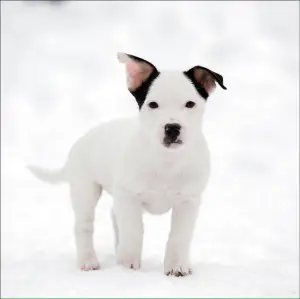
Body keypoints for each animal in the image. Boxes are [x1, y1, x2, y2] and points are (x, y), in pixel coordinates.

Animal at [29, 52, 226, 278]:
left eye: (190, 104)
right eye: (153, 104)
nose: (172, 128)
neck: (166, 159)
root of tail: (82, 140)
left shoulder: (188, 201)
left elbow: (179, 235)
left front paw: (177, 266)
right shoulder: (129, 196)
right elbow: (133, 231)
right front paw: (128, 265)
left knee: (115, 216)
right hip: (85, 188)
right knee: (84, 226)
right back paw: (89, 260)